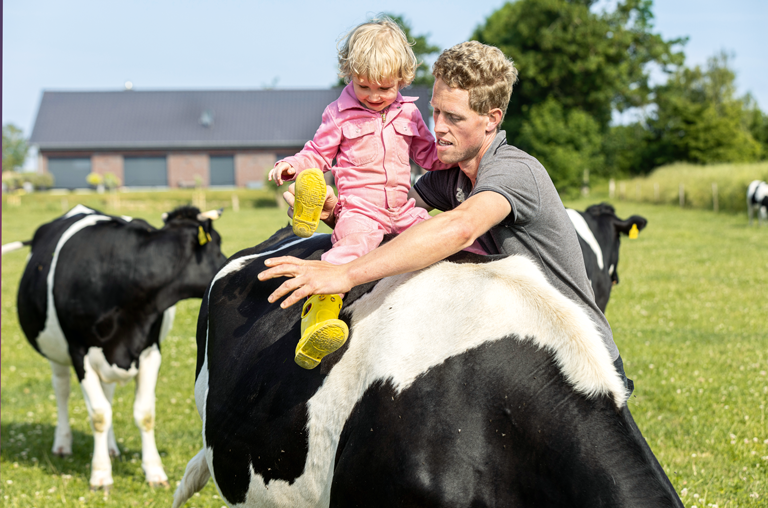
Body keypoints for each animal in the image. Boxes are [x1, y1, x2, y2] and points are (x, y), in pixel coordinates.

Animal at [13, 204, 226, 490]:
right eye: (217, 243)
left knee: (108, 394)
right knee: (62, 390)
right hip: (56, 353)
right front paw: (100, 475)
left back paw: (112, 448)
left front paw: (154, 472)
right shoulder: (79, 353)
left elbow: (144, 413)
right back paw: (63, 444)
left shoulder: (150, 351)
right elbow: (98, 415)